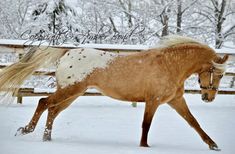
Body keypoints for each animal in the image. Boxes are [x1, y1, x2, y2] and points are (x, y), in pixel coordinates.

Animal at [0, 35, 228, 150]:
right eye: (217, 73)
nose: (209, 97)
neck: (170, 65)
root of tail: (67, 52)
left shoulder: (175, 100)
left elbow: (194, 122)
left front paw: (214, 145)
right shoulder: (153, 100)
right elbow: (146, 124)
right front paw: (144, 146)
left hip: (73, 93)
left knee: (53, 110)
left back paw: (47, 139)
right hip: (70, 89)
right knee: (44, 102)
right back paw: (26, 130)